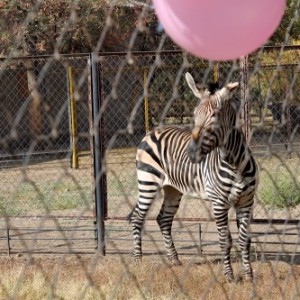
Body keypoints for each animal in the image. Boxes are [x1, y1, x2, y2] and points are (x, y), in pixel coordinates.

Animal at [128, 71, 258, 282]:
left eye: (214, 116)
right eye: (195, 115)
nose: (191, 153)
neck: (235, 164)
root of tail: (152, 131)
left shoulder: (246, 201)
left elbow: (244, 240)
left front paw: (249, 276)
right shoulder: (218, 202)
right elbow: (225, 241)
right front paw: (229, 277)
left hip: (172, 189)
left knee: (163, 219)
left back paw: (174, 260)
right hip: (147, 182)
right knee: (138, 217)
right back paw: (137, 260)